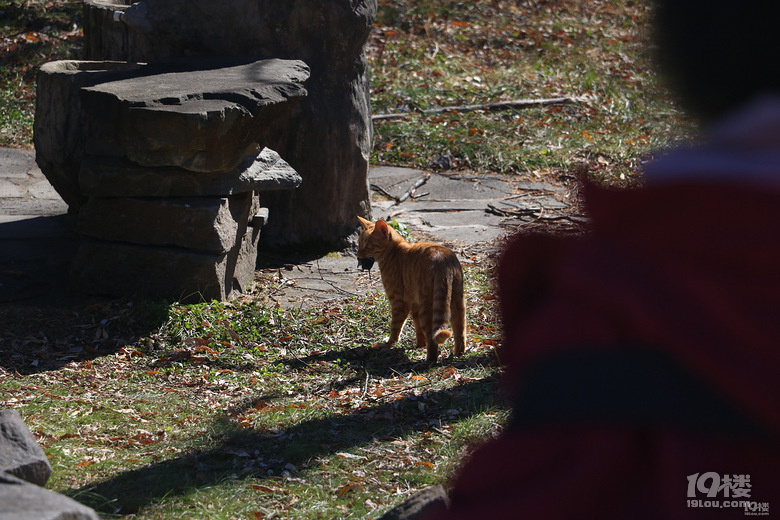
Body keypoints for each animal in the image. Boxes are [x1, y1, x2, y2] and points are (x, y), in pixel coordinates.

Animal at [356, 217, 466, 364]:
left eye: (368, 246)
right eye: (359, 244)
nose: (358, 255)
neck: (395, 252)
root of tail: (442, 260)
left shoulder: (399, 302)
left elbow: (395, 327)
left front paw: (388, 344)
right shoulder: (414, 303)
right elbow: (418, 327)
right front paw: (420, 345)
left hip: (428, 306)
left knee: (432, 338)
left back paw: (429, 361)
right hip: (457, 303)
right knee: (460, 332)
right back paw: (458, 354)